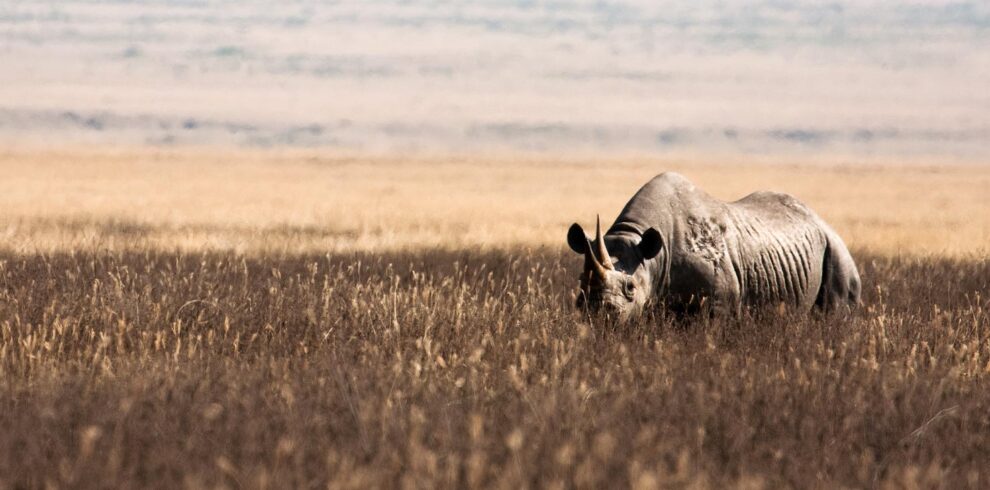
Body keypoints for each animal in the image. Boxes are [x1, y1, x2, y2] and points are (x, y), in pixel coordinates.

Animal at [567, 172, 860, 320]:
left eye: (630, 288)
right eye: (581, 281)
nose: (599, 313)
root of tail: (822, 222)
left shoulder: (719, 303)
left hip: (837, 252)